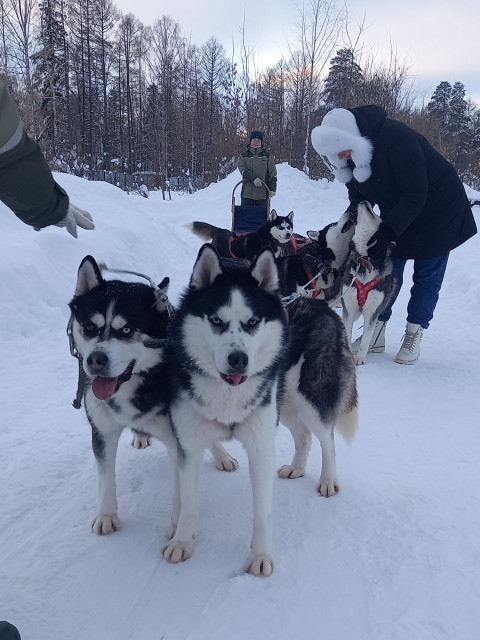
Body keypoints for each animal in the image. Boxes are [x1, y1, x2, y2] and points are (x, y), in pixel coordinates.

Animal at [69, 258, 236, 536]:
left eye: (127, 329)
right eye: (90, 327)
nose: (95, 360)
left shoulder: (178, 440)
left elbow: (182, 490)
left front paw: (179, 527)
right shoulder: (103, 431)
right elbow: (106, 478)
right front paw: (106, 515)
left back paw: (222, 456)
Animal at [163, 244, 358, 576]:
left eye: (253, 322)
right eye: (216, 321)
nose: (239, 359)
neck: (227, 394)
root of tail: (322, 306)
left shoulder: (260, 446)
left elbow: (262, 512)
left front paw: (260, 555)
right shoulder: (188, 445)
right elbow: (188, 503)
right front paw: (182, 541)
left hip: (309, 399)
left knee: (327, 440)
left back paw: (327, 480)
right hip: (284, 404)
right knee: (304, 437)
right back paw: (296, 467)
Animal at [344, 201, 396, 364]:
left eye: (377, 214)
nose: (364, 201)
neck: (365, 260)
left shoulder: (372, 312)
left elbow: (366, 339)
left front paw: (360, 358)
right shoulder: (349, 309)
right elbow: (347, 332)